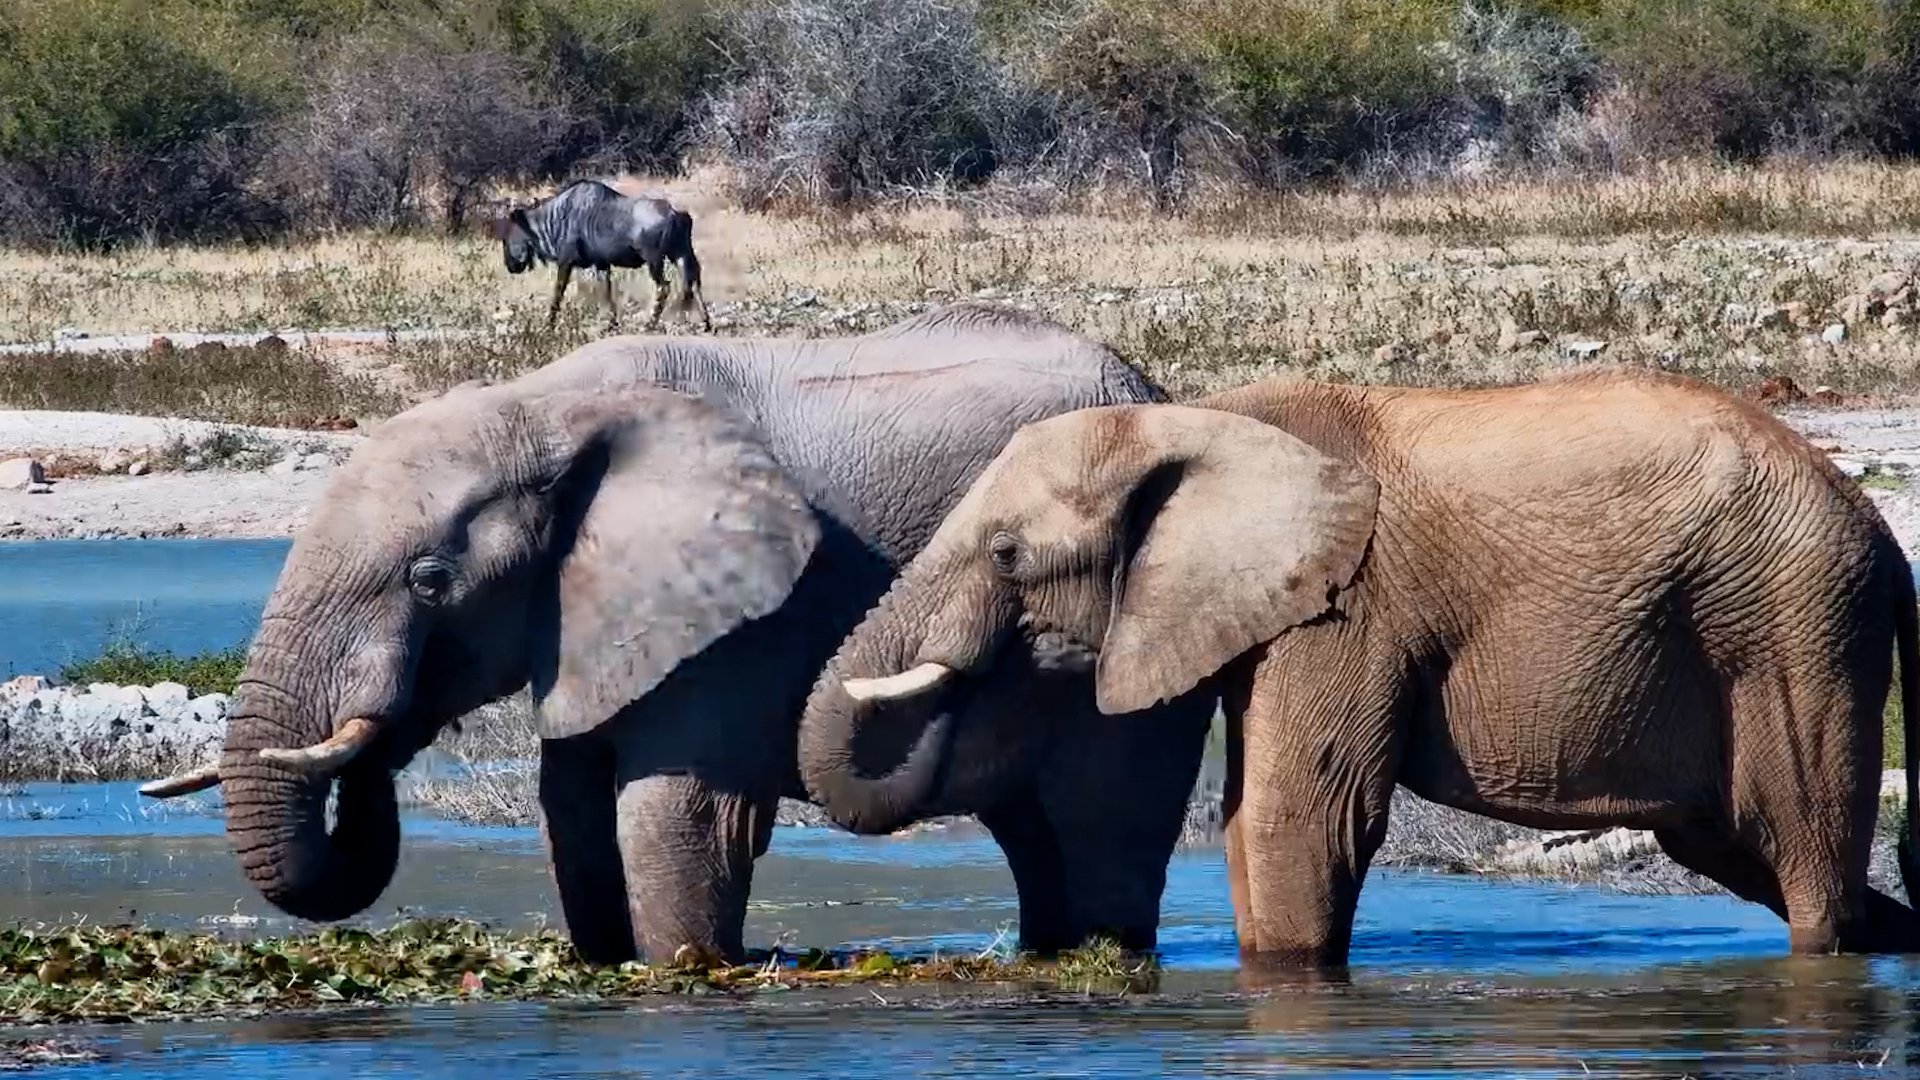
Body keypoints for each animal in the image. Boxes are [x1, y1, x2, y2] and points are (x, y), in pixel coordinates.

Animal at [139, 303, 1212, 965]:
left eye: (432, 582)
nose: (379, 731)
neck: (539, 408)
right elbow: (569, 809)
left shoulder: (739, 608)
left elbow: (673, 812)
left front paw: (686, 971)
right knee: (1036, 838)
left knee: (1103, 829)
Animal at [798, 364, 1920, 969]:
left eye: (1005, 555)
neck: (1201, 419)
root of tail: (1885, 538)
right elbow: (1254, 824)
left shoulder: (1349, 606)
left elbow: (1301, 817)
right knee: (1735, 848)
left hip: (1792, 628)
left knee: (1802, 854)